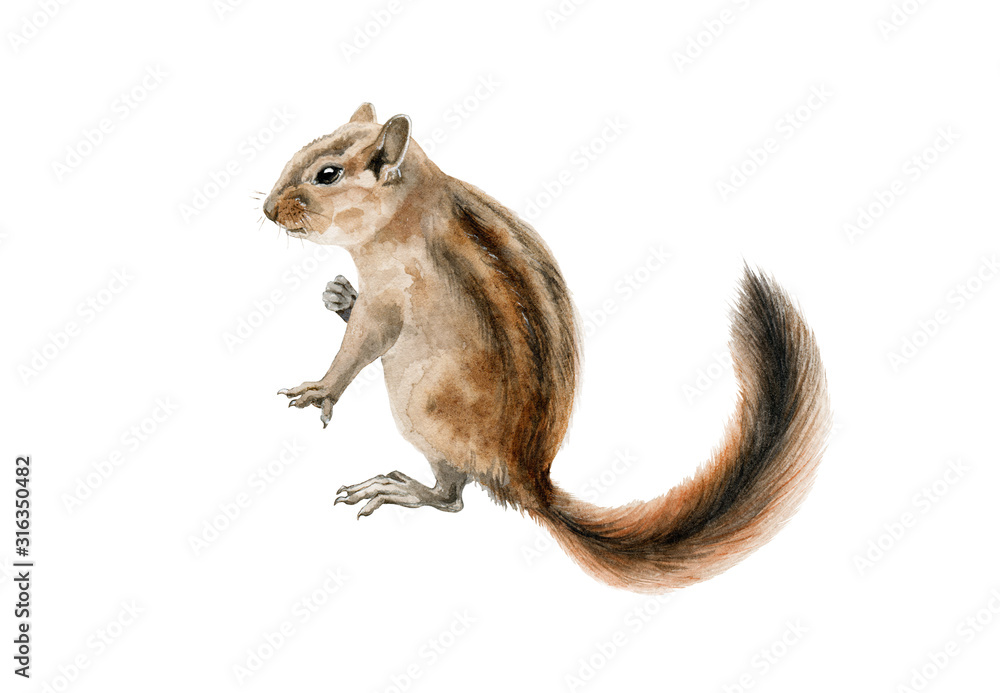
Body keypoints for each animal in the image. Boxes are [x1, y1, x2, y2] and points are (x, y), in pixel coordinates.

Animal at [263, 103, 831, 593]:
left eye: (328, 174)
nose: (267, 209)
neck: (411, 208)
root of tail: (528, 480)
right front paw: (338, 295)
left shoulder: (389, 296)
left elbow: (359, 347)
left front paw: (321, 389)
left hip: (418, 405)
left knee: (452, 498)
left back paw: (396, 488)